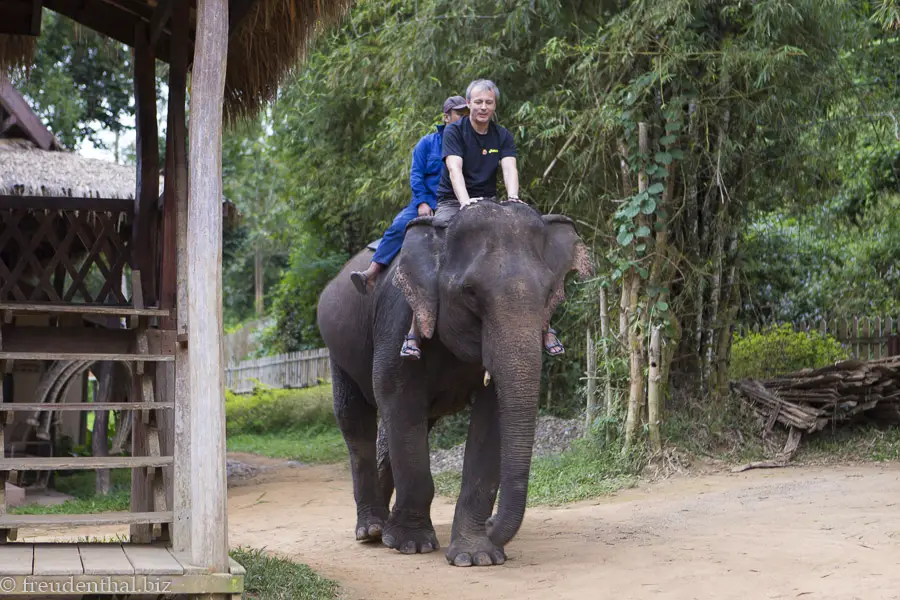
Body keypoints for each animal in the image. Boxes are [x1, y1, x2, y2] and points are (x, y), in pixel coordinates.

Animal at [314, 202, 592, 568]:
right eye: (470, 292)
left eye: (549, 292)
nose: (492, 524)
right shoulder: (398, 320)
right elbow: (400, 401)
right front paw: (412, 545)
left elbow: (491, 417)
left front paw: (477, 556)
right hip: (338, 349)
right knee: (354, 420)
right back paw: (372, 531)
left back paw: (384, 527)